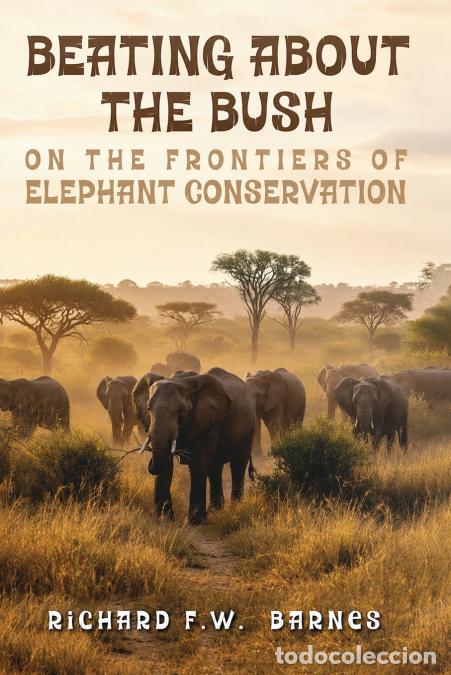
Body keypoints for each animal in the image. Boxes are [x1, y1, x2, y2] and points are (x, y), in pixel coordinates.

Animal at [138, 367, 255, 524]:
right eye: (148, 409)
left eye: (181, 411)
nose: (150, 462)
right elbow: (166, 465)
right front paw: (164, 520)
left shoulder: (208, 420)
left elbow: (198, 463)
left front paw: (194, 522)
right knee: (214, 468)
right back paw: (216, 510)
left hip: (249, 426)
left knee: (237, 465)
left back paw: (234, 508)